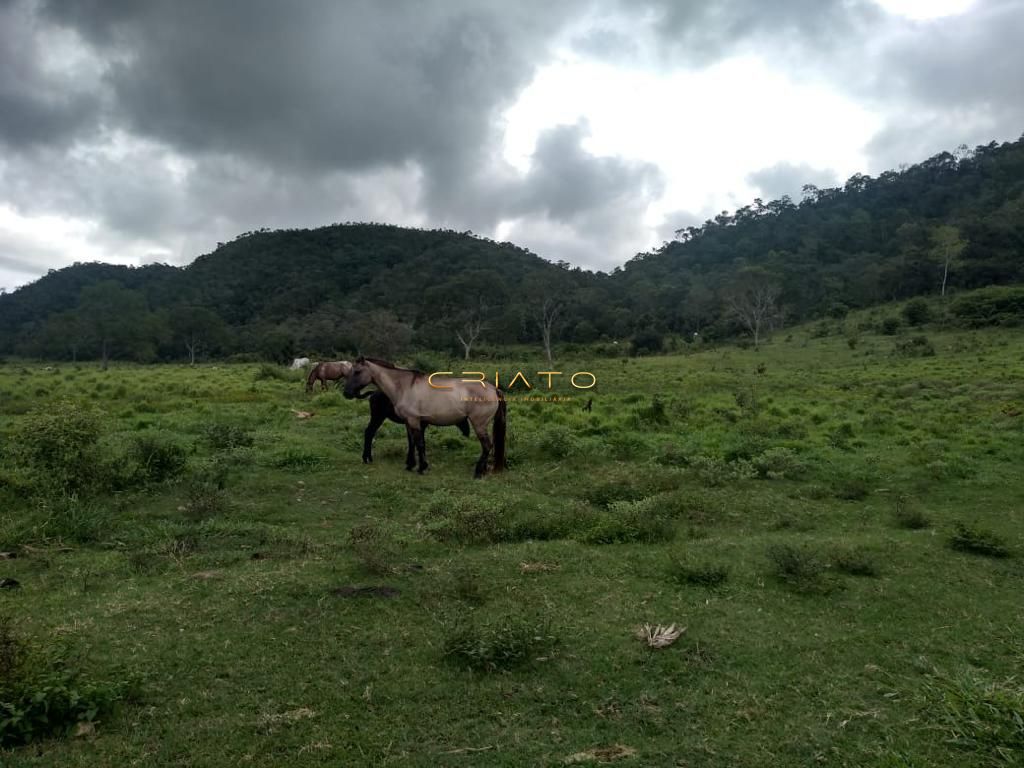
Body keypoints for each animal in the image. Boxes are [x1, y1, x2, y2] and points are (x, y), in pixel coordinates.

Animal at [342, 358, 505, 479]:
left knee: (487, 446)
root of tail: (494, 389)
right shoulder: (410, 422)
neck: (404, 387)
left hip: (479, 425)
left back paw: (478, 472)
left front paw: (421, 467)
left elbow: (419, 443)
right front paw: (411, 464)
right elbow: (414, 443)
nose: (346, 393)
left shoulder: (414, 421)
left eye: (357, 372)